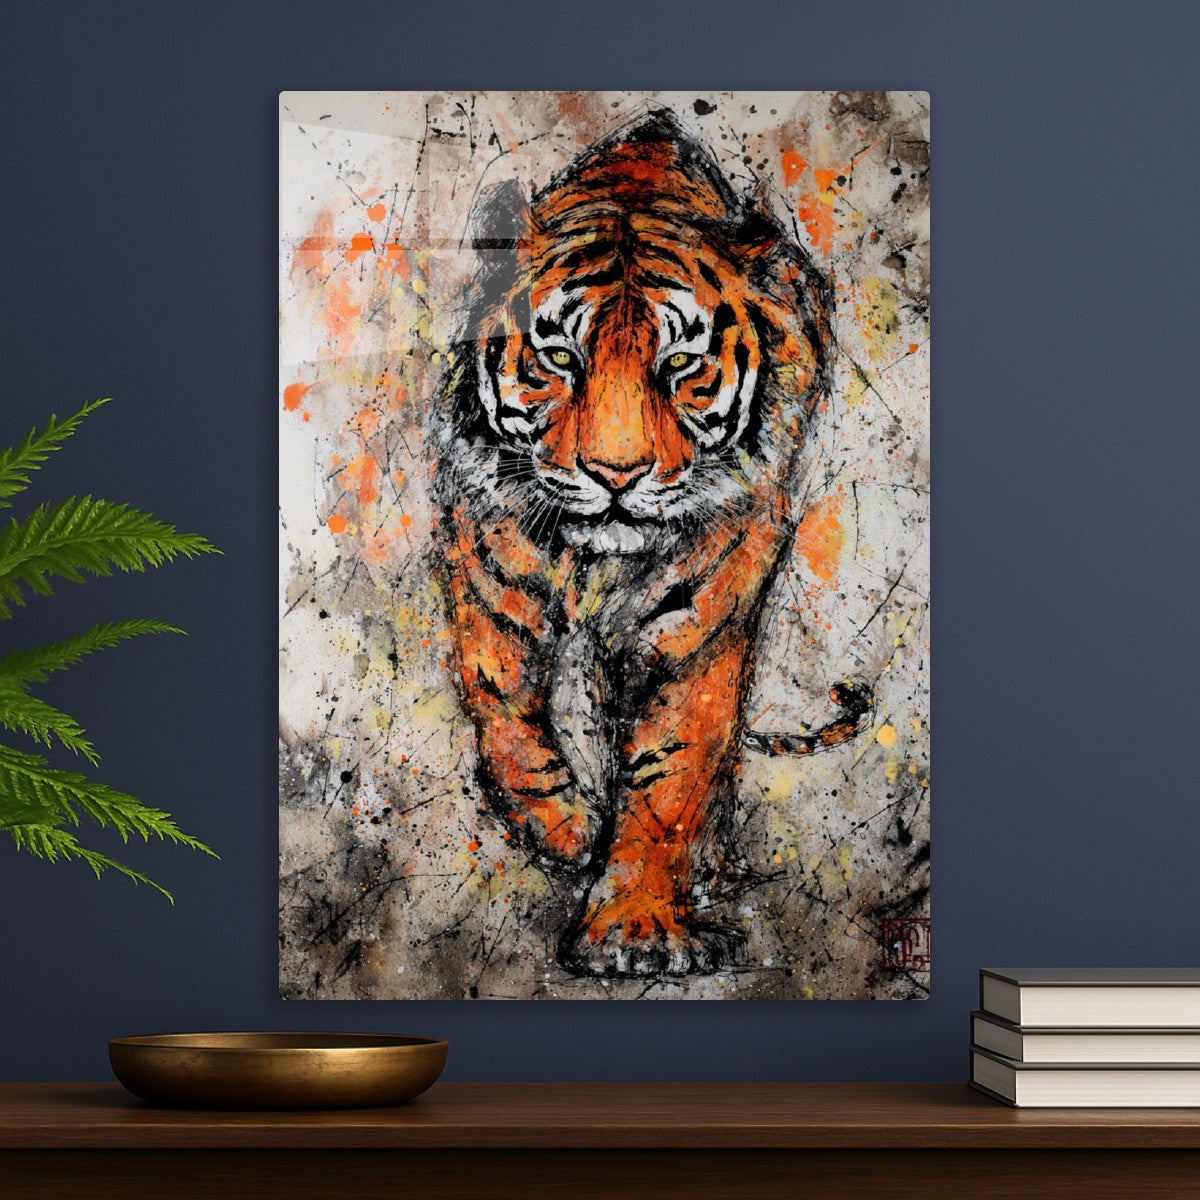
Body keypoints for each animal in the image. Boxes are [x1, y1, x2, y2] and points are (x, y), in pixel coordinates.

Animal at [432, 109, 871, 978]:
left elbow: (673, 764)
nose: (616, 473)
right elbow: (503, 705)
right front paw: (568, 831)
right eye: (559, 357)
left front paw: (631, 928)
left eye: (681, 364)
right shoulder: (487, 556)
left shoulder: (700, 612)